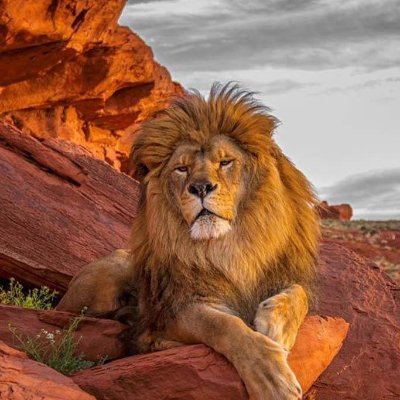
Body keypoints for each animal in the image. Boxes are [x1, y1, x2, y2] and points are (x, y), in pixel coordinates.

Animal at [57, 82, 318, 400]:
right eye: (181, 169)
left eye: (225, 162)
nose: (200, 187)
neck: (231, 248)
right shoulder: (178, 306)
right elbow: (223, 325)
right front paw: (272, 379)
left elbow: (299, 295)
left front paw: (276, 326)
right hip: (111, 273)